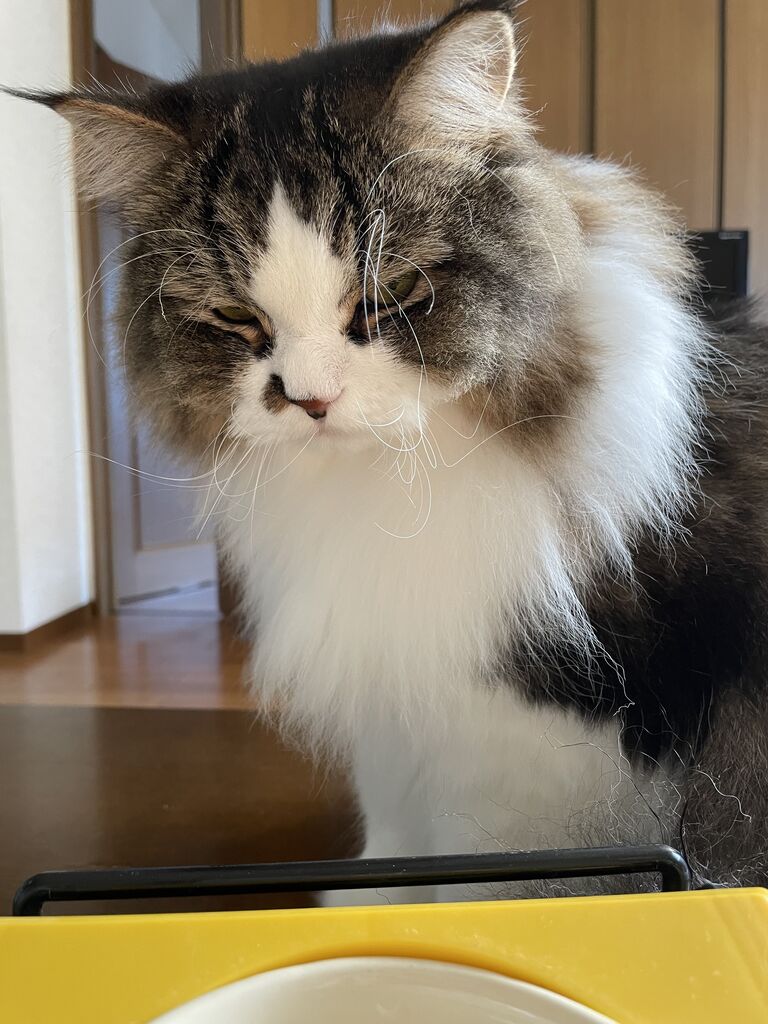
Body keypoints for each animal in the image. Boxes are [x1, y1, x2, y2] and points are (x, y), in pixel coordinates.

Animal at [18, 0, 768, 899]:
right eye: (235, 317)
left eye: (391, 293)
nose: (309, 398)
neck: (385, 502)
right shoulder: (398, 705)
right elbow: (395, 847)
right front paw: (362, 902)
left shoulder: (539, 749)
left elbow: (489, 883)